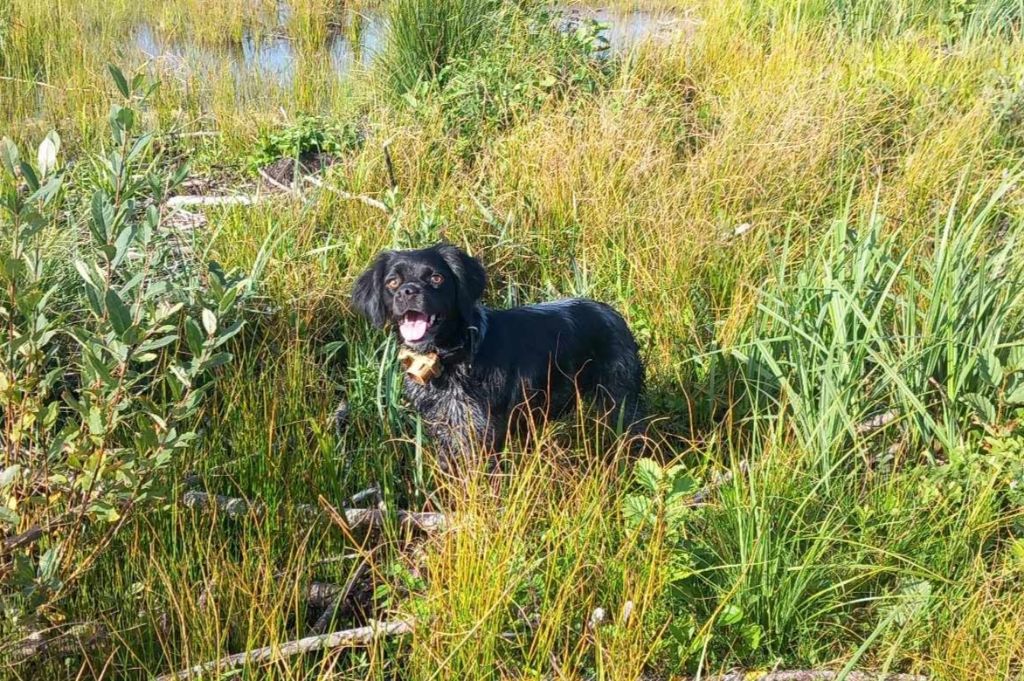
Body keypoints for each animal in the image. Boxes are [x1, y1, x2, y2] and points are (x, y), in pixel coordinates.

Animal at [352, 243, 644, 471]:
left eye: (436, 278)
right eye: (392, 282)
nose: (408, 291)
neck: (451, 360)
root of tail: (613, 315)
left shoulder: (480, 438)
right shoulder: (445, 433)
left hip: (619, 407)